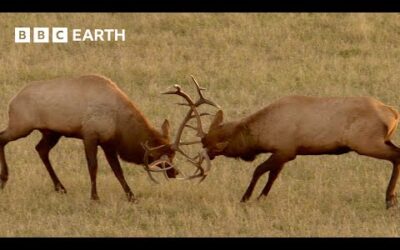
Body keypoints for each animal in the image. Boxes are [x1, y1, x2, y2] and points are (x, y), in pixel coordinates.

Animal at [0, 73, 212, 201]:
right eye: (158, 157)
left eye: (173, 156)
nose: (174, 172)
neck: (119, 122)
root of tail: (12, 100)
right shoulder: (90, 135)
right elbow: (93, 167)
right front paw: (95, 197)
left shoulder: (109, 143)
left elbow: (118, 170)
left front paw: (131, 196)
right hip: (21, 125)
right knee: (2, 138)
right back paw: (4, 179)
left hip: (52, 132)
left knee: (41, 149)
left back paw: (60, 187)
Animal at [172, 78, 400, 209]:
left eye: (209, 144)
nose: (205, 155)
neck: (262, 135)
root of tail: (392, 113)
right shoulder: (286, 153)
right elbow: (273, 175)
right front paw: (261, 197)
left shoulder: (285, 149)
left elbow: (259, 170)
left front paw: (246, 198)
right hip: (382, 140)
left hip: (366, 143)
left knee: (396, 156)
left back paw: (389, 199)